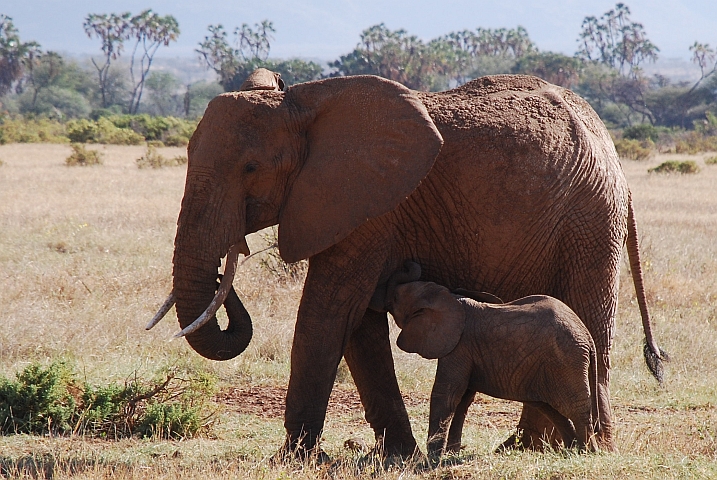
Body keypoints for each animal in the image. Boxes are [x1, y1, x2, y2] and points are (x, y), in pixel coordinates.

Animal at [392, 282, 600, 458]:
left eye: (395, 298)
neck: (450, 297)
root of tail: (588, 336)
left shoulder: (459, 346)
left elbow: (447, 394)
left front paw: (434, 458)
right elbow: (463, 399)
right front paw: (451, 454)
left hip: (567, 359)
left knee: (575, 407)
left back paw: (587, 452)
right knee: (549, 407)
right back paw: (572, 449)